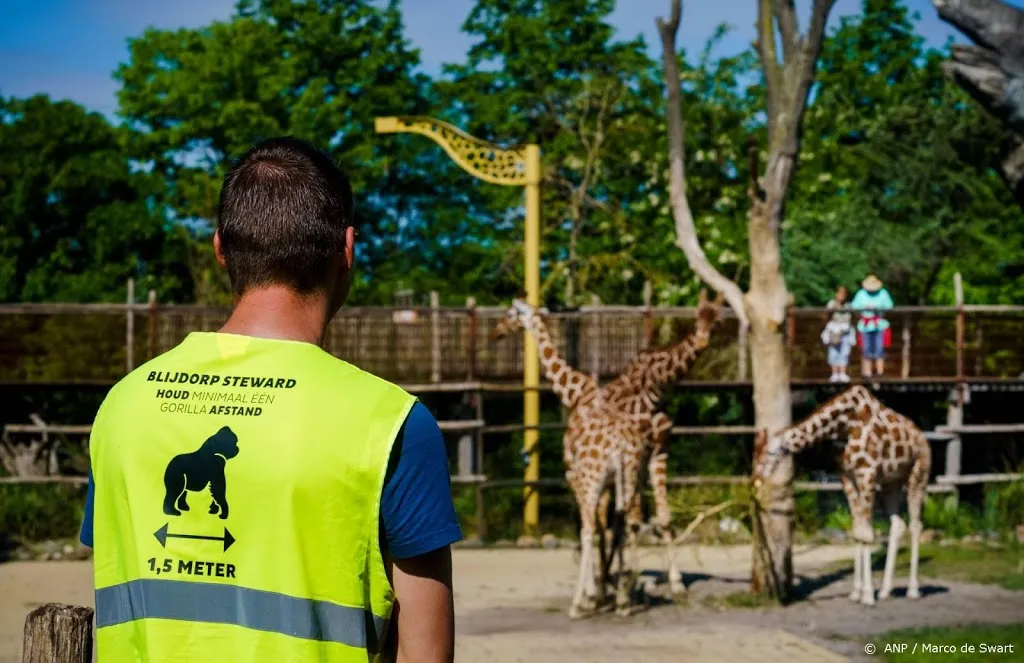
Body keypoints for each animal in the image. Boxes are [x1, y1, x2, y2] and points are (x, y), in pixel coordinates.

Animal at [489, 299, 647, 618]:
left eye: (510, 314)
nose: (496, 332)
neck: (576, 394)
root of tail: (621, 446)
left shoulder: (574, 474)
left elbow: (588, 529)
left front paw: (589, 597)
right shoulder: (608, 483)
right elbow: (606, 528)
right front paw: (605, 594)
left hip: (591, 478)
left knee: (590, 528)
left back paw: (579, 604)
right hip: (630, 475)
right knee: (626, 523)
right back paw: (624, 601)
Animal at [749, 383, 933, 606]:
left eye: (770, 453)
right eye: (755, 454)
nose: (756, 480)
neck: (844, 425)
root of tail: (922, 437)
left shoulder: (867, 474)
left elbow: (867, 534)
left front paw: (867, 595)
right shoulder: (847, 477)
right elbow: (858, 532)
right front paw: (857, 592)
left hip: (918, 474)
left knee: (915, 525)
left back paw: (913, 590)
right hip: (892, 483)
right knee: (898, 524)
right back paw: (885, 591)